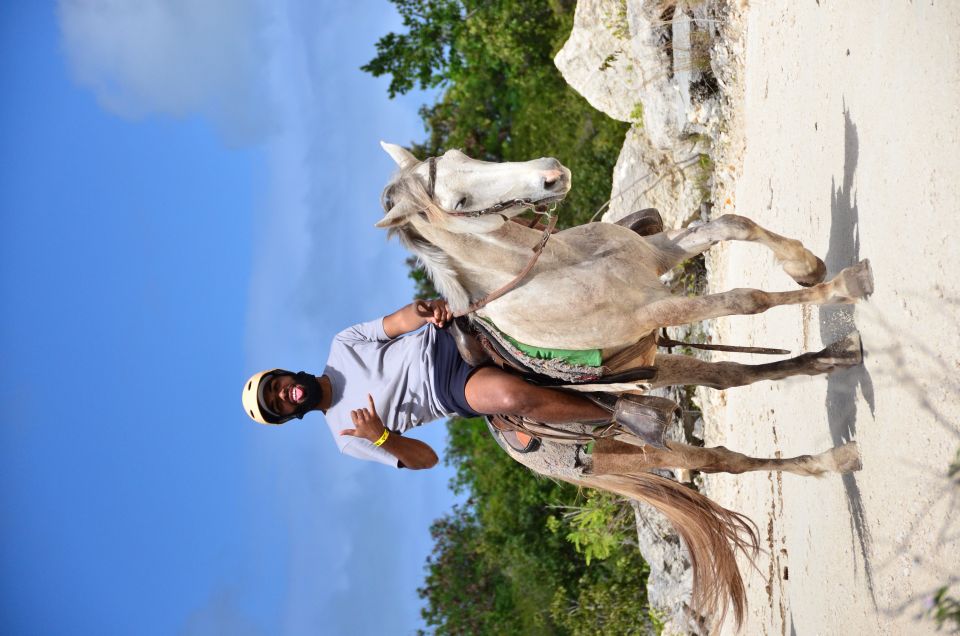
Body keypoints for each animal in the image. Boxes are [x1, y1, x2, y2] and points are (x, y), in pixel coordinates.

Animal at [376, 142, 871, 628]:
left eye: (462, 155)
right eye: (459, 202)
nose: (551, 175)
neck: (559, 268)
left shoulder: (659, 256)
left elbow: (735, 224)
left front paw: (807, 267)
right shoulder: (655, 310)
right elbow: (747, 300)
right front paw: (842, 287)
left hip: (655, 366)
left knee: (729, 376)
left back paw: (834, 359)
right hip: (646, 451)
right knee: (720, 461)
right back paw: (829, 458)